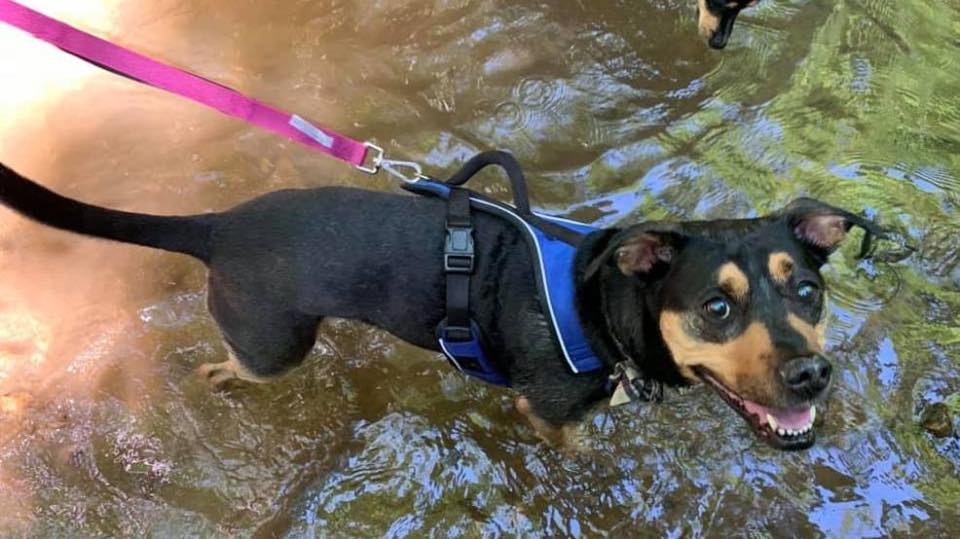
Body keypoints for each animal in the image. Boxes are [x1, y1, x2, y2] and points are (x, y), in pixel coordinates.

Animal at [0, 163, 884, 452]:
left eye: (809, 289)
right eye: (715, 307)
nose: (812, 375)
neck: (600, 301)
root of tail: (216, 225)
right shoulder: (546, 408)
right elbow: (571, 443)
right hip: (273, 345)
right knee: (227, 366)